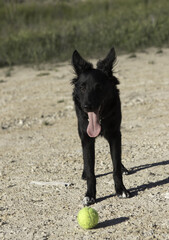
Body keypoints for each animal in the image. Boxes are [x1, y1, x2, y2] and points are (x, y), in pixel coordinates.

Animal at [70, 47, 130, 206]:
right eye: (82, 87)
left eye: (99, 87)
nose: (87, 106)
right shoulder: (86, 138)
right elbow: (91, 170)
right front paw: (90, 195)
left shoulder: (115, 135)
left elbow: (116, 166)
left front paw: (121, 190)